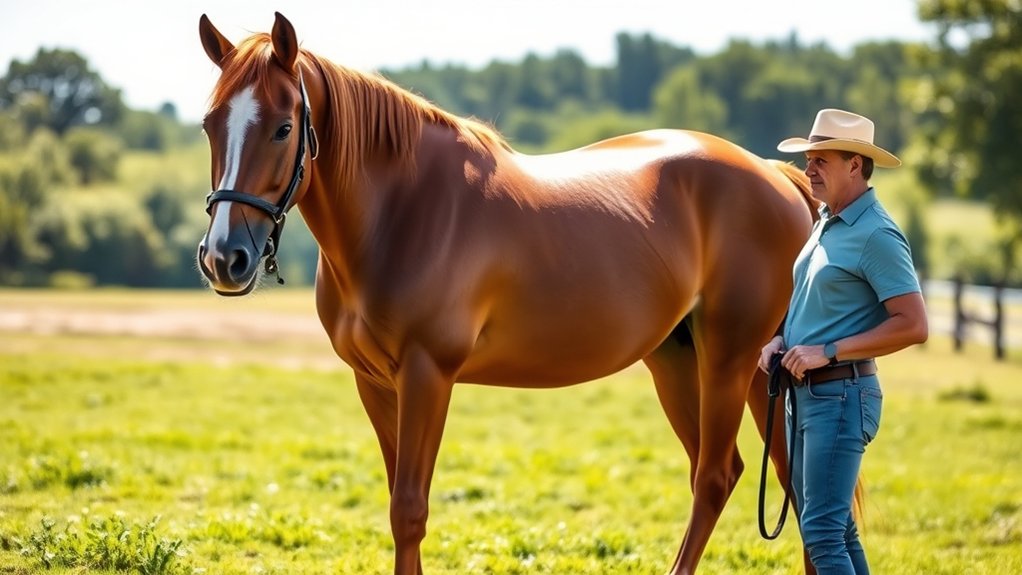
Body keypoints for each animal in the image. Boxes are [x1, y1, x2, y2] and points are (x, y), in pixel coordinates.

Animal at [196, 12, 821, 574]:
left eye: (283, 127)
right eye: (209, 124)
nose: (224, 258)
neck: (404, 209)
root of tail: (776, 176)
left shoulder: (427, 374)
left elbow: (409, 510)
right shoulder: (374, 382)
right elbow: (398, 504)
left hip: (728, 360)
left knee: (717, 477)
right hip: (698, 361)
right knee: (783, 480)